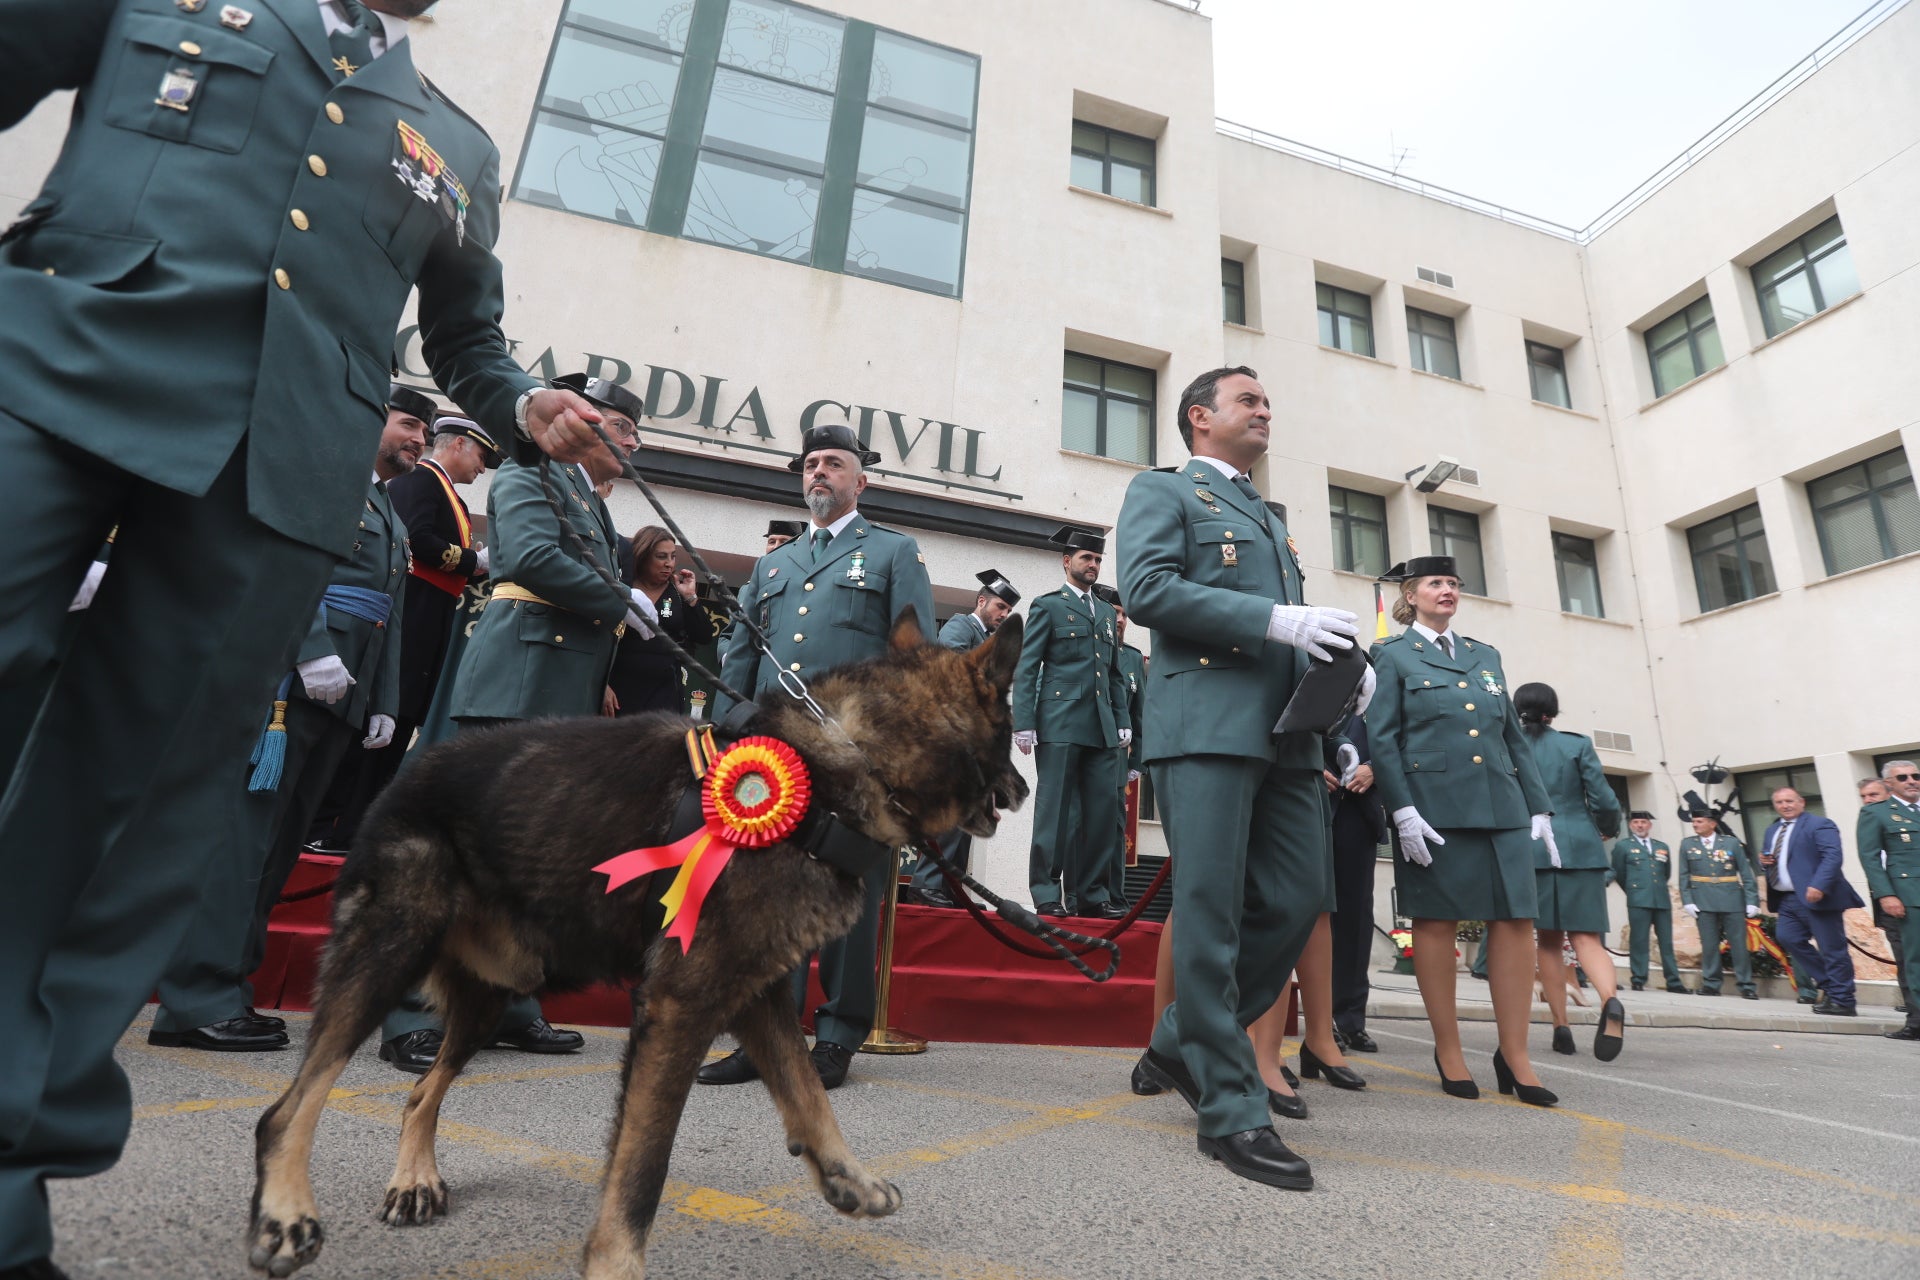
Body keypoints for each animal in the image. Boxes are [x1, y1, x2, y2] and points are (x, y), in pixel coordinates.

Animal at [247, 614, 1029, 1280]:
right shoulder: (682, 1004)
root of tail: (405, 774)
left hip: (493, 993)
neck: (844, 761)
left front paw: (848, 1178)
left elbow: (809, 1092)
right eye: (1010, 724)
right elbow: (642, 1166)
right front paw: (616, 1262)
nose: (1024, 785)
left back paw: (413, 1179)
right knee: (290, 1107)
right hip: (388, 953)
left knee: (419, 1093)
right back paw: (286, 1213)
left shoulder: (755, 995)